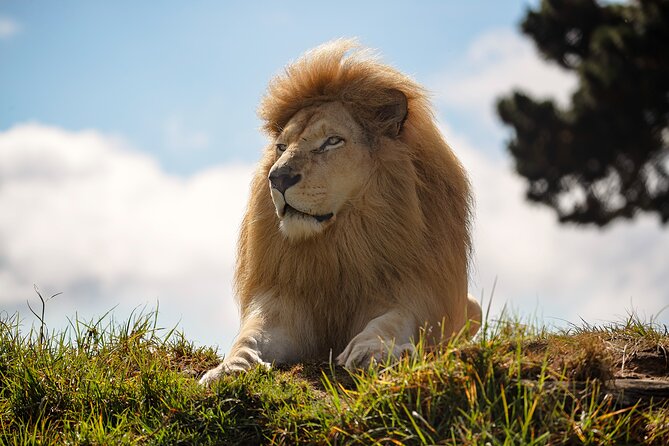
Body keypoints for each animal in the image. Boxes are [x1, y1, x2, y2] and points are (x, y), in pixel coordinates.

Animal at [200, 39, 481, 385]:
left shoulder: (414, 292)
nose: (277, 178)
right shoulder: (283, 302)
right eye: (281, 147)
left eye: (332, 141)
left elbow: (390, 321)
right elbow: (249, 336)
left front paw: (371, 351)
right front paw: (228, 368)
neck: (339, 244)